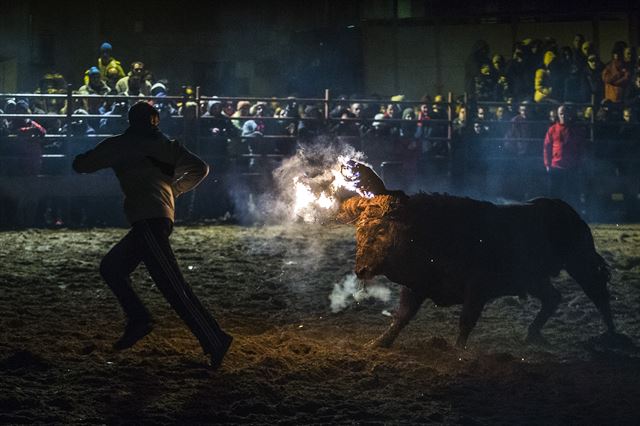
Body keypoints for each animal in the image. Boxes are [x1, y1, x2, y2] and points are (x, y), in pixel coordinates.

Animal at [338, 161, 616, 348]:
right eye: (360, 231)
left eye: (381, 230)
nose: (360, 270)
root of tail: (567, 210)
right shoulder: (417, 284)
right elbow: (401, 317)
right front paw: (378, 343)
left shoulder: (477, 288)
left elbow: (465, 321)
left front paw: (457, 352)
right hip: (533, 278)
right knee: (553, 297)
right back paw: (532, 334)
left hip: (581, 262)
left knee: (599, 295)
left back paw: (611, 336)